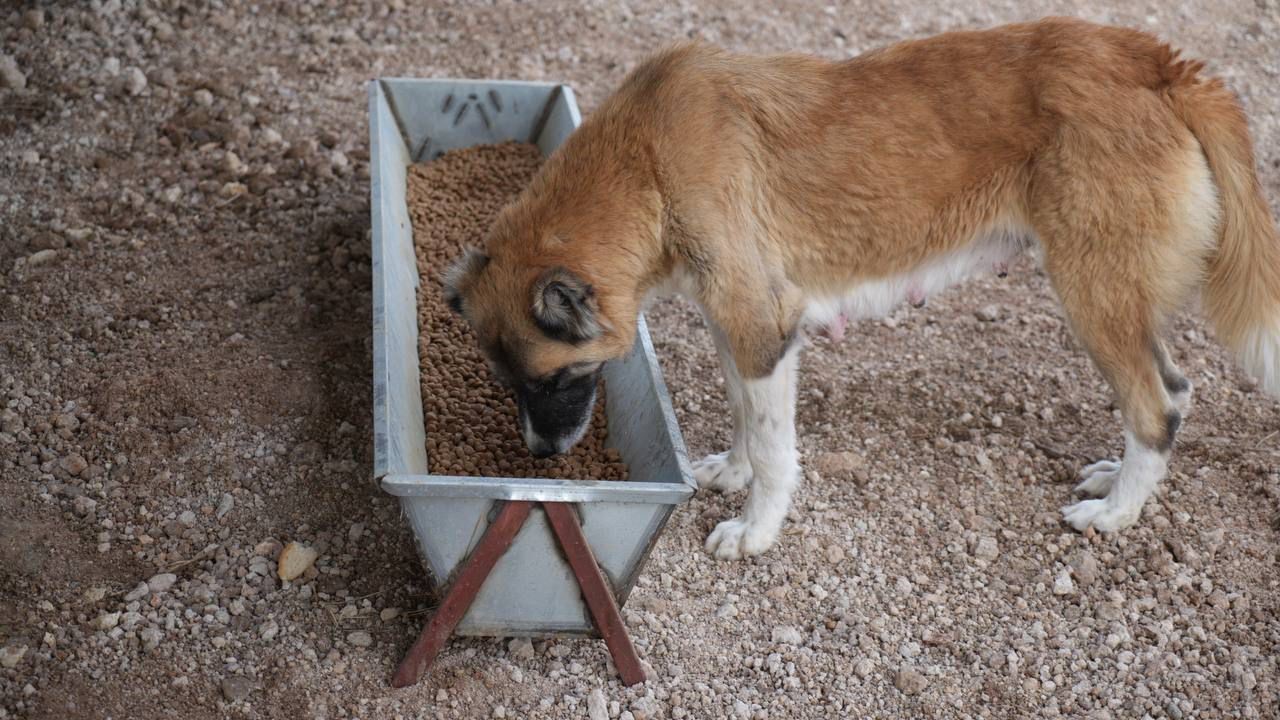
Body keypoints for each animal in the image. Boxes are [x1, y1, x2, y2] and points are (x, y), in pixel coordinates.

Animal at [448, 15, 1280, 556]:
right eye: (506, 383)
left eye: (554, 379)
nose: (541, 457)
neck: (645, 161)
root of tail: (1160, 60)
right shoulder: (739, 326)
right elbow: (749, 417)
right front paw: (732, 471)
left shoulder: (762, 325)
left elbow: (776, 450)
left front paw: (756, 531)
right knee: (1170, 396)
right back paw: (1114, 479)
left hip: (1094, 294)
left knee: (1159, 404)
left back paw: (1115, 513)